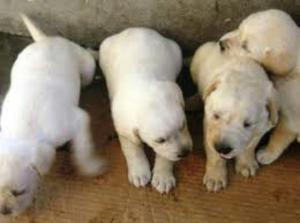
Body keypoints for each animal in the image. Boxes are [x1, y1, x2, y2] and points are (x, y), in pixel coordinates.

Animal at [0, 14, 105, 216]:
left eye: (19, 192)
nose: (4, 212)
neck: (22, 132)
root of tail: (45, 40)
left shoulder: (77, 120)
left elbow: (83, 149)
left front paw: (90, 167)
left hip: (86, 68)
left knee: (88, 61)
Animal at [98, 27, 192, 193]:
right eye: (160, 140)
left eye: (183, 125)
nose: (185, 153)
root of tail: (135, 29)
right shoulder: (124, 127)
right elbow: (132, 148)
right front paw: (139, 173)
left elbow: (164, 155)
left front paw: (163, 176)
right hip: (104, 49)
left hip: (175, 49)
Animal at [191, 41, 278, 192]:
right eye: (216, 116)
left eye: (247, 124)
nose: (222, 148)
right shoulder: (209, 126)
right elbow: (214, 154)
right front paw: (215, 177)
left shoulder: (262, 127)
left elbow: (249, 146)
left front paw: (245, 163)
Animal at [219, 8, 300, 165]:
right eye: (240, 28)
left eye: (245, 46)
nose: (221, 44)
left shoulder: (291, 118)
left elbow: (279, 137)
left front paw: (267, 154)